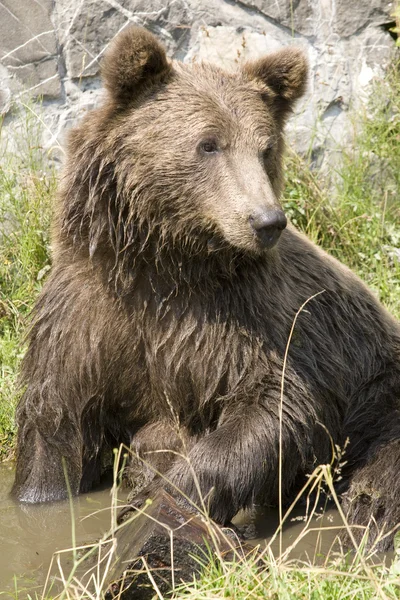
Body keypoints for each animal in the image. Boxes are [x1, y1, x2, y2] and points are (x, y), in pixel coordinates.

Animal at [11, 25, 400, 552]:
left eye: (265, 147)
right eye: (209, 144)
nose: (266, 221)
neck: (164, 263)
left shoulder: (247, 321)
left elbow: (275, 404)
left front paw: (157, 502)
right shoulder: (88, 317)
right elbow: (55, 425)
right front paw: (41, 497)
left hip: (379, 391)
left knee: (381, 470)